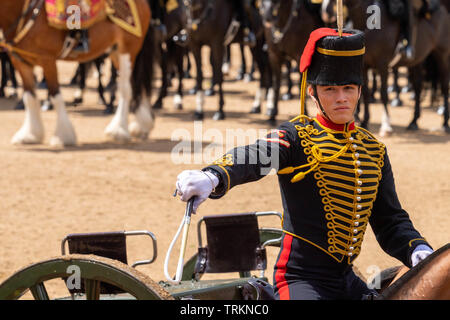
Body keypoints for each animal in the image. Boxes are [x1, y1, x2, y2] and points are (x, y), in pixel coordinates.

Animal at [0, 0, 155, 148]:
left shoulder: (47, 60)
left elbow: (55, 95)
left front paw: (62, 136)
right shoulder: (20, 62)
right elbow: (29, 98)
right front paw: (30, 135)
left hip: (127, 50)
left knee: (125, 89)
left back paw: (118, 130)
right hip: (116, 51)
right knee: (136, 84)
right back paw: (141, 125)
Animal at [322, 0, 448, 134]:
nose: (326, 12)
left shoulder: (382, 65)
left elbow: (383, 93)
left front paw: (386, 124)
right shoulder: (364, 66)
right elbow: (365, 93)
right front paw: (365, 121)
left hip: (442, 55)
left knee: (444, 86)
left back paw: (445, 122)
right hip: (418, 60)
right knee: (418, 86)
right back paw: (414, 121)